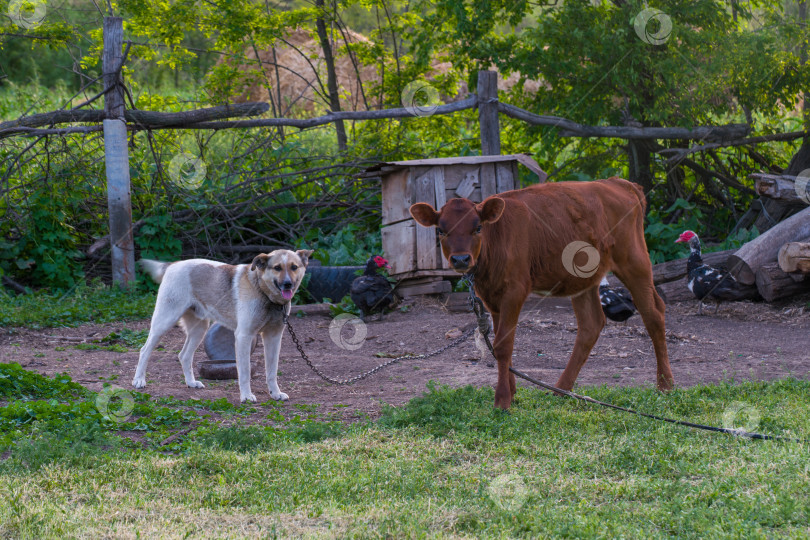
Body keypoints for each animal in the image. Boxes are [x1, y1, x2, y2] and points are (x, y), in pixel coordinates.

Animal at [131, 249, 310, 400]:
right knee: (144, 350)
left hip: (199, 330)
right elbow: (244, 372)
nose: (287, 284)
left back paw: (191, 383)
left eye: (294, 267)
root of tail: (172, 265)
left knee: (184, 355)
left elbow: (272, 372)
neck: (265, 293)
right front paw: (246, 396)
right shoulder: (244, 336)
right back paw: (139, 380)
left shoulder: (273, 337)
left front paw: (275, 394)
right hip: (163, 323)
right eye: (277, 268)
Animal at [408, 177, 672, 410]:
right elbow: (500, 343)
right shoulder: (492, 296)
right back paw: (561, 389)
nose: (461, 259)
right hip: (584, 276)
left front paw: (502, 401)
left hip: (634, 261)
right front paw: (512, 392)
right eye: (441, 231)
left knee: (653, 314)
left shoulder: (515, 290)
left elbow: (503, 345)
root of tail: (618, 182)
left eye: (478, 227)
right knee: (591, 324)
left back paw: (665, 385)